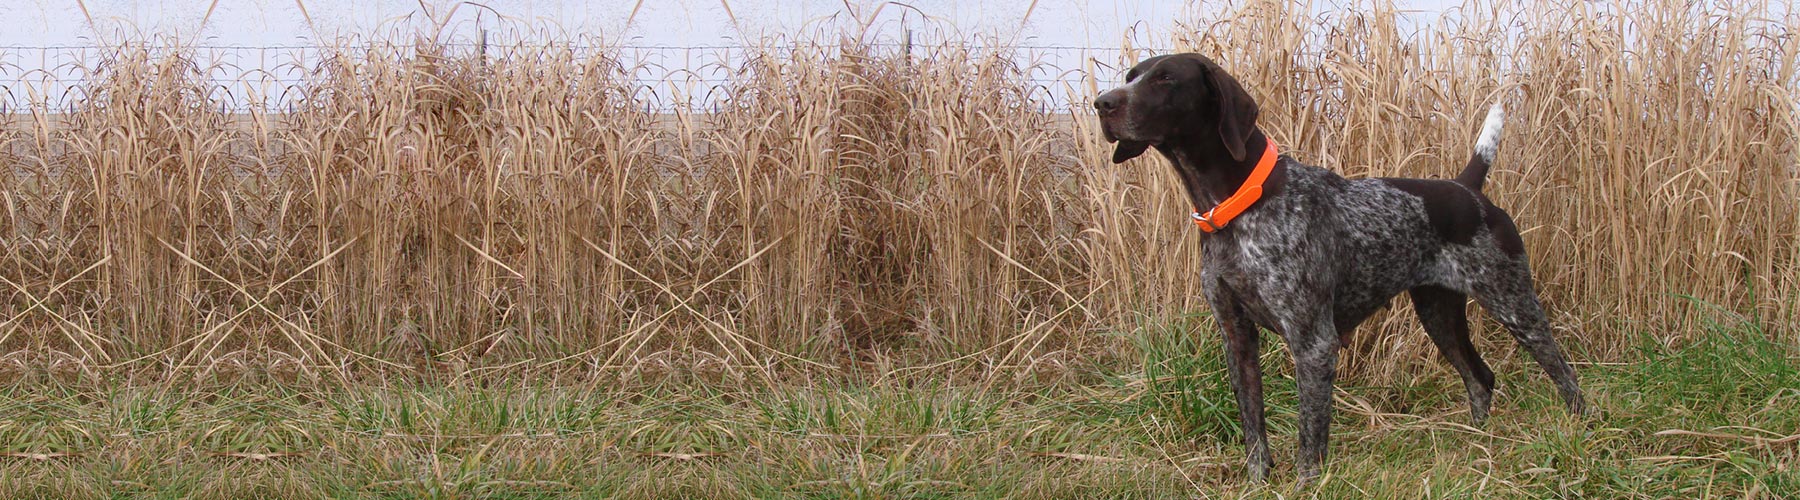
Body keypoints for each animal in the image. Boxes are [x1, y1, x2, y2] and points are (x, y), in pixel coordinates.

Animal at [1094, 54, 1591, 485]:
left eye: (1165, 79)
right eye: (1132, 75)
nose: (1102, 103)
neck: (1236, 208)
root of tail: (1466, 188)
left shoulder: (1313, 342)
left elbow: (1310, 437)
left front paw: (1306, 485)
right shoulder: (1236, 337)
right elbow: (1254, 430)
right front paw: (1257, 483)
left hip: (1514, 305)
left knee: (1565, 376)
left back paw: (1582, 431)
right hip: (1438, 314)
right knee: (1481, 378)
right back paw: (1479, 444)